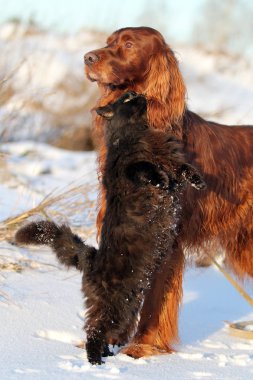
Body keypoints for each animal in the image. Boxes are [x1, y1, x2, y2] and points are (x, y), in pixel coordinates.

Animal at [14, 92, 206, 366]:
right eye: (126, 99)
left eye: (133, 96)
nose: (139, 95)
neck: (139, 133)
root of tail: (90, 259)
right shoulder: (126, 168)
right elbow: (144, 168)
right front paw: (160, 179)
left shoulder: (171, 161)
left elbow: (182, 168)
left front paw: (198, 180)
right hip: (116, 307)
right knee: (93, 332)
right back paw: (95, 361)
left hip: (129, 306)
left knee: (103, 333)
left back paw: (105, 356)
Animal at [84, 26, 253, 360]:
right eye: (109, 41)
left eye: (129, 44)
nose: (88, 57)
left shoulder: (165, 238)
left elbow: (153, 300)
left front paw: (143, 345)